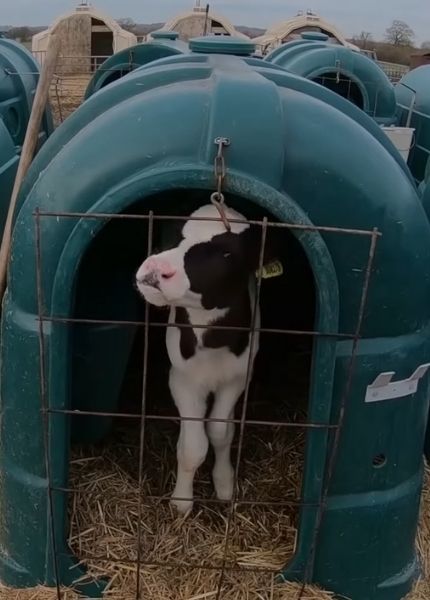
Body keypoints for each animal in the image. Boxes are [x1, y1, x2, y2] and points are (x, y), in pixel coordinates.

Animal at [136, 204, 270, 512]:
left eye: (227, 253)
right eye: (173, 234)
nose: (155, 270)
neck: (212, 341)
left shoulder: (238, 376)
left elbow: (221, 432)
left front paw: (224, 484)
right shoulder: (181, 378)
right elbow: (193, 445)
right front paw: (181, 501)